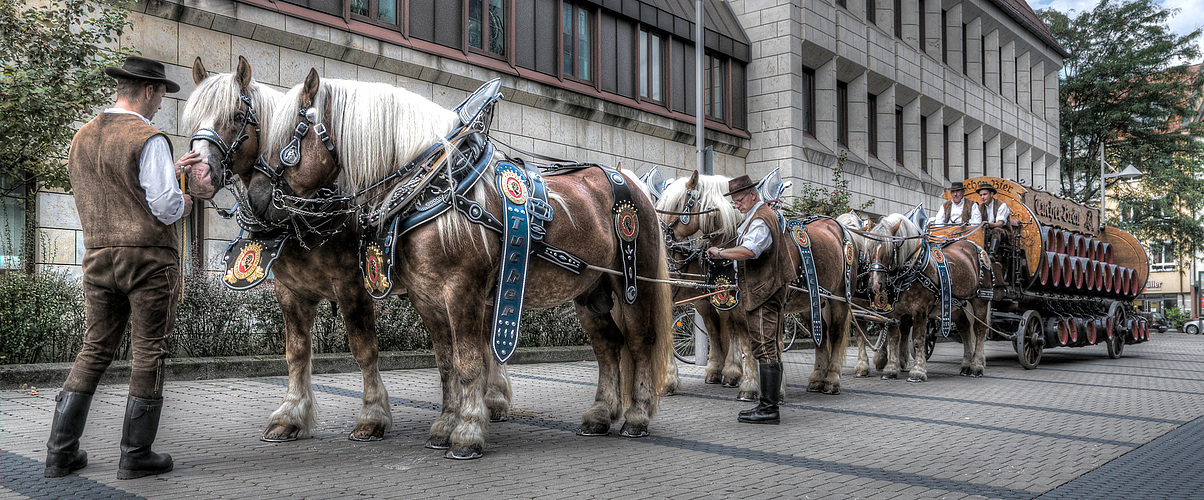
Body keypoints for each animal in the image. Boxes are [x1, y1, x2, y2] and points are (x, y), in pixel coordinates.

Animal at [181, 57, 512, 443]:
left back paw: (494, 398)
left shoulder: (353, 285)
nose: (197, 174)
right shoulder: (290, 290)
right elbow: (296, 351)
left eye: (235, 115)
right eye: (192, 117)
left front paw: (372, 415)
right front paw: (290, 414)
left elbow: (363, 349)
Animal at [242, 68, 679, 460]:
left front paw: (467, 432)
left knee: (640, 343)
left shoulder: (462, 291)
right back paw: (601, 414)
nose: (256, 200)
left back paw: (637, 416)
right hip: (591, 292)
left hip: (633, 284)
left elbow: (468, 361)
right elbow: (446, 363)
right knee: (608, 346)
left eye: (291, 136)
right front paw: (445, 425)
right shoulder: (427, 297)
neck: (429, 186)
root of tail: (632, 182)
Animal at [659, 173, 857, 400]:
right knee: (820, 333)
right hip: (811, 301)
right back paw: (816, 378)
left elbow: (774, 343)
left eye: (677, 205)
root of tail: (837, 226)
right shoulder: (736, 306)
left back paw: (832, 380)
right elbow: (747, 342)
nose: (661, 240)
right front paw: (751, 386)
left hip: (839, 297)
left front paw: (774, 388)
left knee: (837, 332)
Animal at [866, 213, 996, 380]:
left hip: (980, 299)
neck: (913, 267)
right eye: (869, 249)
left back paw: (977, 366)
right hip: (955, 305)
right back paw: (966, 365)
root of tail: (978, 248)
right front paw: (891, 369)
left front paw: (918, 371)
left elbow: (919, 339)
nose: (876, 285)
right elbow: (893, 339)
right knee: (965, 328)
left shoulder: (920, 310)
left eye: (889, 251)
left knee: (979, 330)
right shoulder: (893, 312)